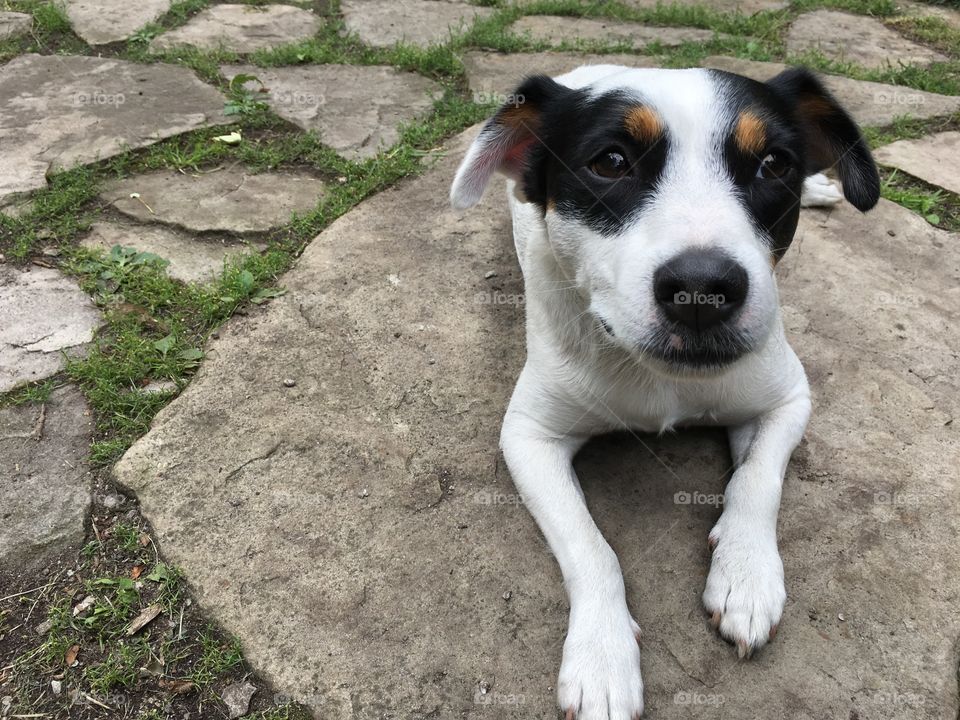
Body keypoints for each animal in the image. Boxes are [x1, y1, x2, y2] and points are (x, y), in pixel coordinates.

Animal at [448, 64, 876, 716]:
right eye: (611, 161)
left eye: (774, 163)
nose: (703, 289)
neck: (658, 378)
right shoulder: (528, 437)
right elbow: (593, 550)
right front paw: (602, 658)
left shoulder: (787, 397)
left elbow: (758, 481)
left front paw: (745, 574)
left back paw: (822, 189)